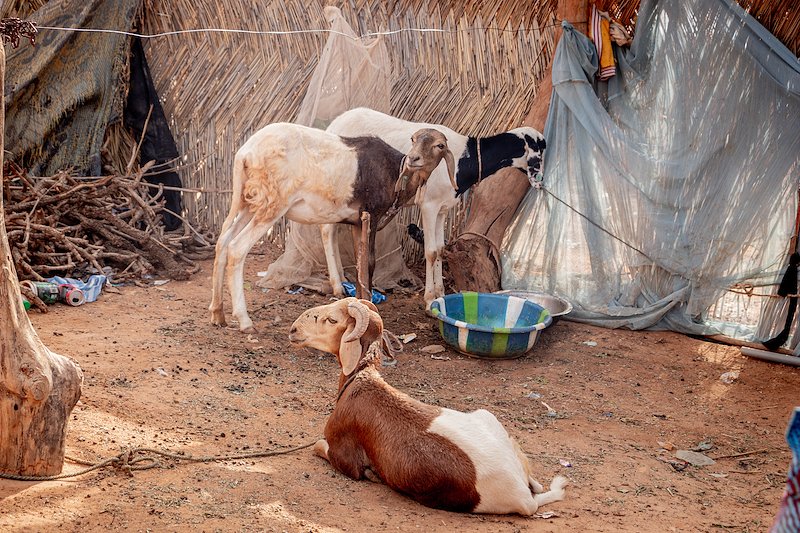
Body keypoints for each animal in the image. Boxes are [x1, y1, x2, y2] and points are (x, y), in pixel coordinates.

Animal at [211, 124, 450, 332]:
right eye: (413, 139)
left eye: (439, 145)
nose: (414, 159)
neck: (395, 172)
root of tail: (245, 153)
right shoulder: (371, 216)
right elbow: (369, 263)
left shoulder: (357, 222)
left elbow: (360, 264)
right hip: (272, 203)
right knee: (237, 247)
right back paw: (244, 321)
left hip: (249, 201)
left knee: (223, 242)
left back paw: (217, 313)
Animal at [288, 298, 568, 512]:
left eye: (332, 320)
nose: (293, 330)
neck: (361, 379)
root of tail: (524, 497)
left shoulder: (345, 459)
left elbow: (319, 446)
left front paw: (371, 473)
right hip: (489, 419)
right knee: (537, 483)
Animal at [324, 108, 544, 308]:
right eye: (539, 153)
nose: (539, 181)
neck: (464, 159)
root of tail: (334, 123)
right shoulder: (429, 206)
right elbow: (430, 251)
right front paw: (430, 298)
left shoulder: (443, 208)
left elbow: (439, 249)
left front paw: (441, 293)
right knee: (327, 231)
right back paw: (337, 286)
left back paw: (342, 279)